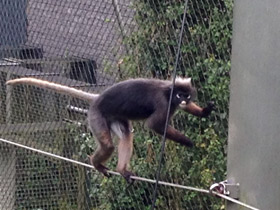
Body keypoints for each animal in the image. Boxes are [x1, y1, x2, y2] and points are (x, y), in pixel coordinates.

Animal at [7, 77, 214, 182]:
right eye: (179, 94)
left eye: (186, 95)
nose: (183, 100)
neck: (169, 93)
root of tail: (97, 98)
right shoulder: (163, 103)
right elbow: (154, 125)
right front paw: (188, 141)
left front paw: (203, 111)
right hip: (96, 116)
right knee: (107, 145)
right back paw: (95, 163)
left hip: (115, 117)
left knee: (126, 135)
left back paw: (122, 169)